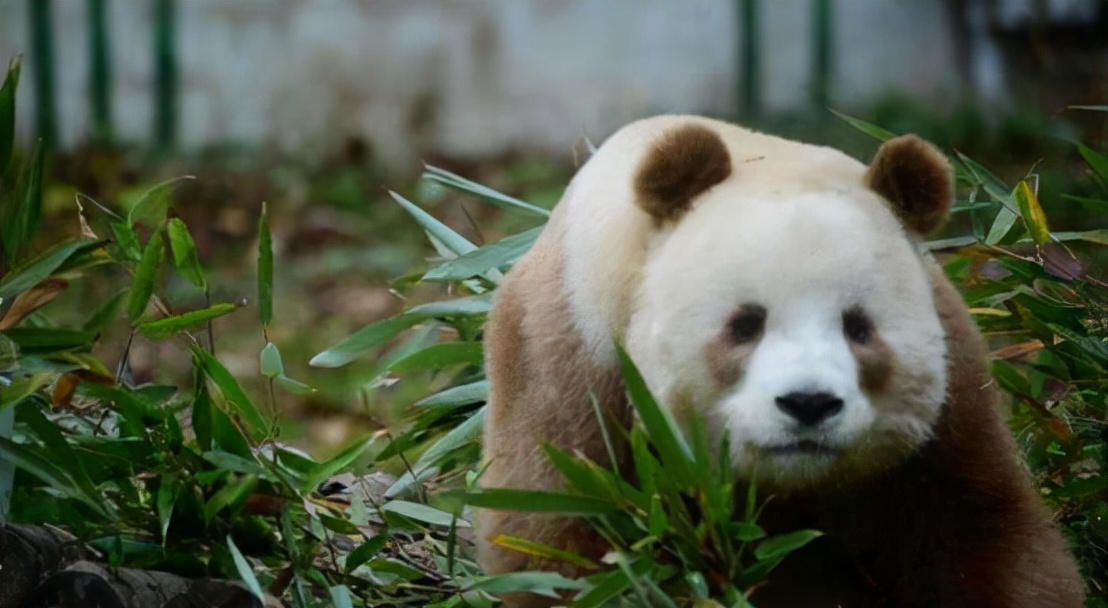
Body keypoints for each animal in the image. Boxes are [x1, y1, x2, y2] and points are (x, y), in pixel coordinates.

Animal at [474, 115, 1081, 606]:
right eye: (746, 324)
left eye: (858, 327)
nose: (809, 403)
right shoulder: (575, 361)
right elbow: (568, 550)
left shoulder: (947, 410)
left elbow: (983, 536)